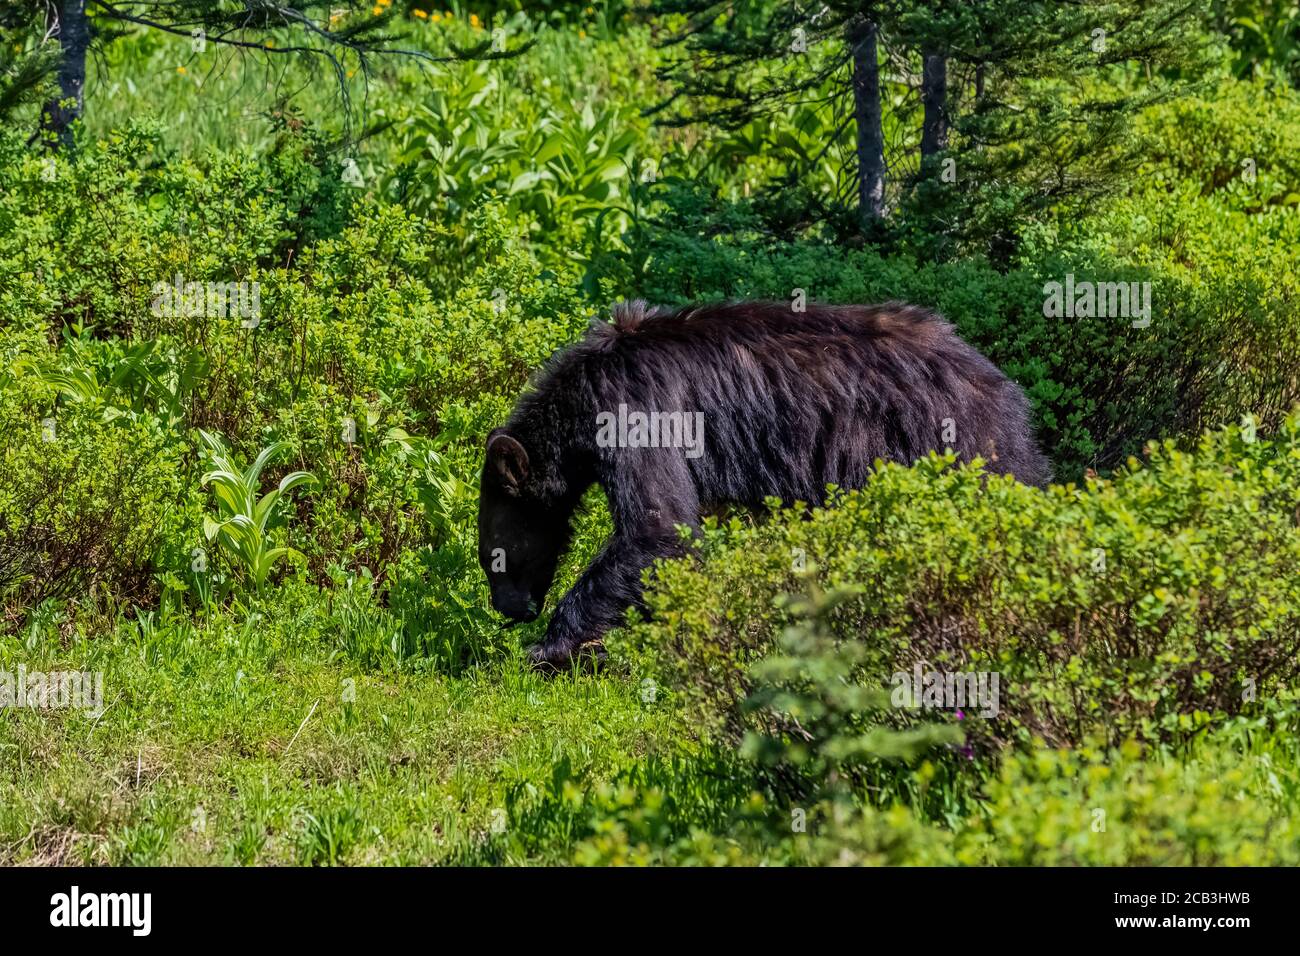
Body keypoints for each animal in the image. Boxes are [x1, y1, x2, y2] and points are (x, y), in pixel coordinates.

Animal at [478, 303, 1045, 671]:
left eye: (494, 556)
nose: (508, 610)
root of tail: (1006, 392)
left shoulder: (632, 407)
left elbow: (658, 526)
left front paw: (550, 650)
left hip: (934, 444)